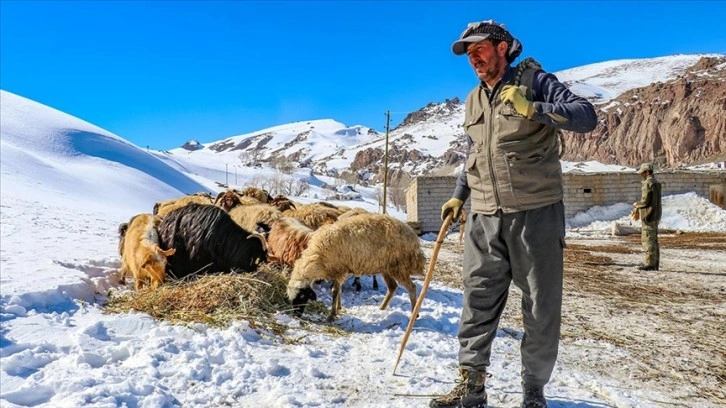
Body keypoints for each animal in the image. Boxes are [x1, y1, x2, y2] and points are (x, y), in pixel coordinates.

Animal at [288, 214, 426, 322]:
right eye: (291, 299)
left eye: (302, 297)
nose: (296, 315)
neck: (317, 257)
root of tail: (414, 238)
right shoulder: (339, 270)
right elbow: (338, 291)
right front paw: (338, 308)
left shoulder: (339, 269)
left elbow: (335, 291)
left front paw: (332, 315)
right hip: (386, 268)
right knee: (392, 287)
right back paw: (381, 308)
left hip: (399, 266)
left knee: (412, 287)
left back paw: (414, 314)